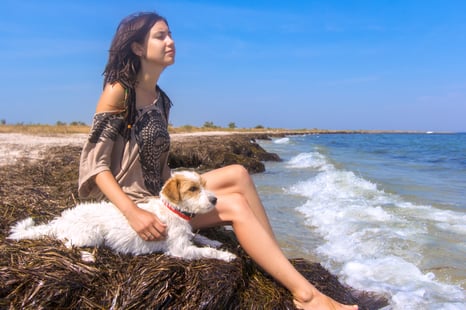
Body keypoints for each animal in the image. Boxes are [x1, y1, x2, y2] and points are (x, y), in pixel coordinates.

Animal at [8, 171, 237, 262]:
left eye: (204, 185)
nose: (215, 200)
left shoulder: (187, 236)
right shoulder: (180, 250)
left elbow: (200, 237)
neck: (173, 210)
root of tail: (61, 220)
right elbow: (206, 251)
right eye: (193, 189)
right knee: (65, 243)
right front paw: (226, 255)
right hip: (90, 235)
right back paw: (86, 256)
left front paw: (214, 241)